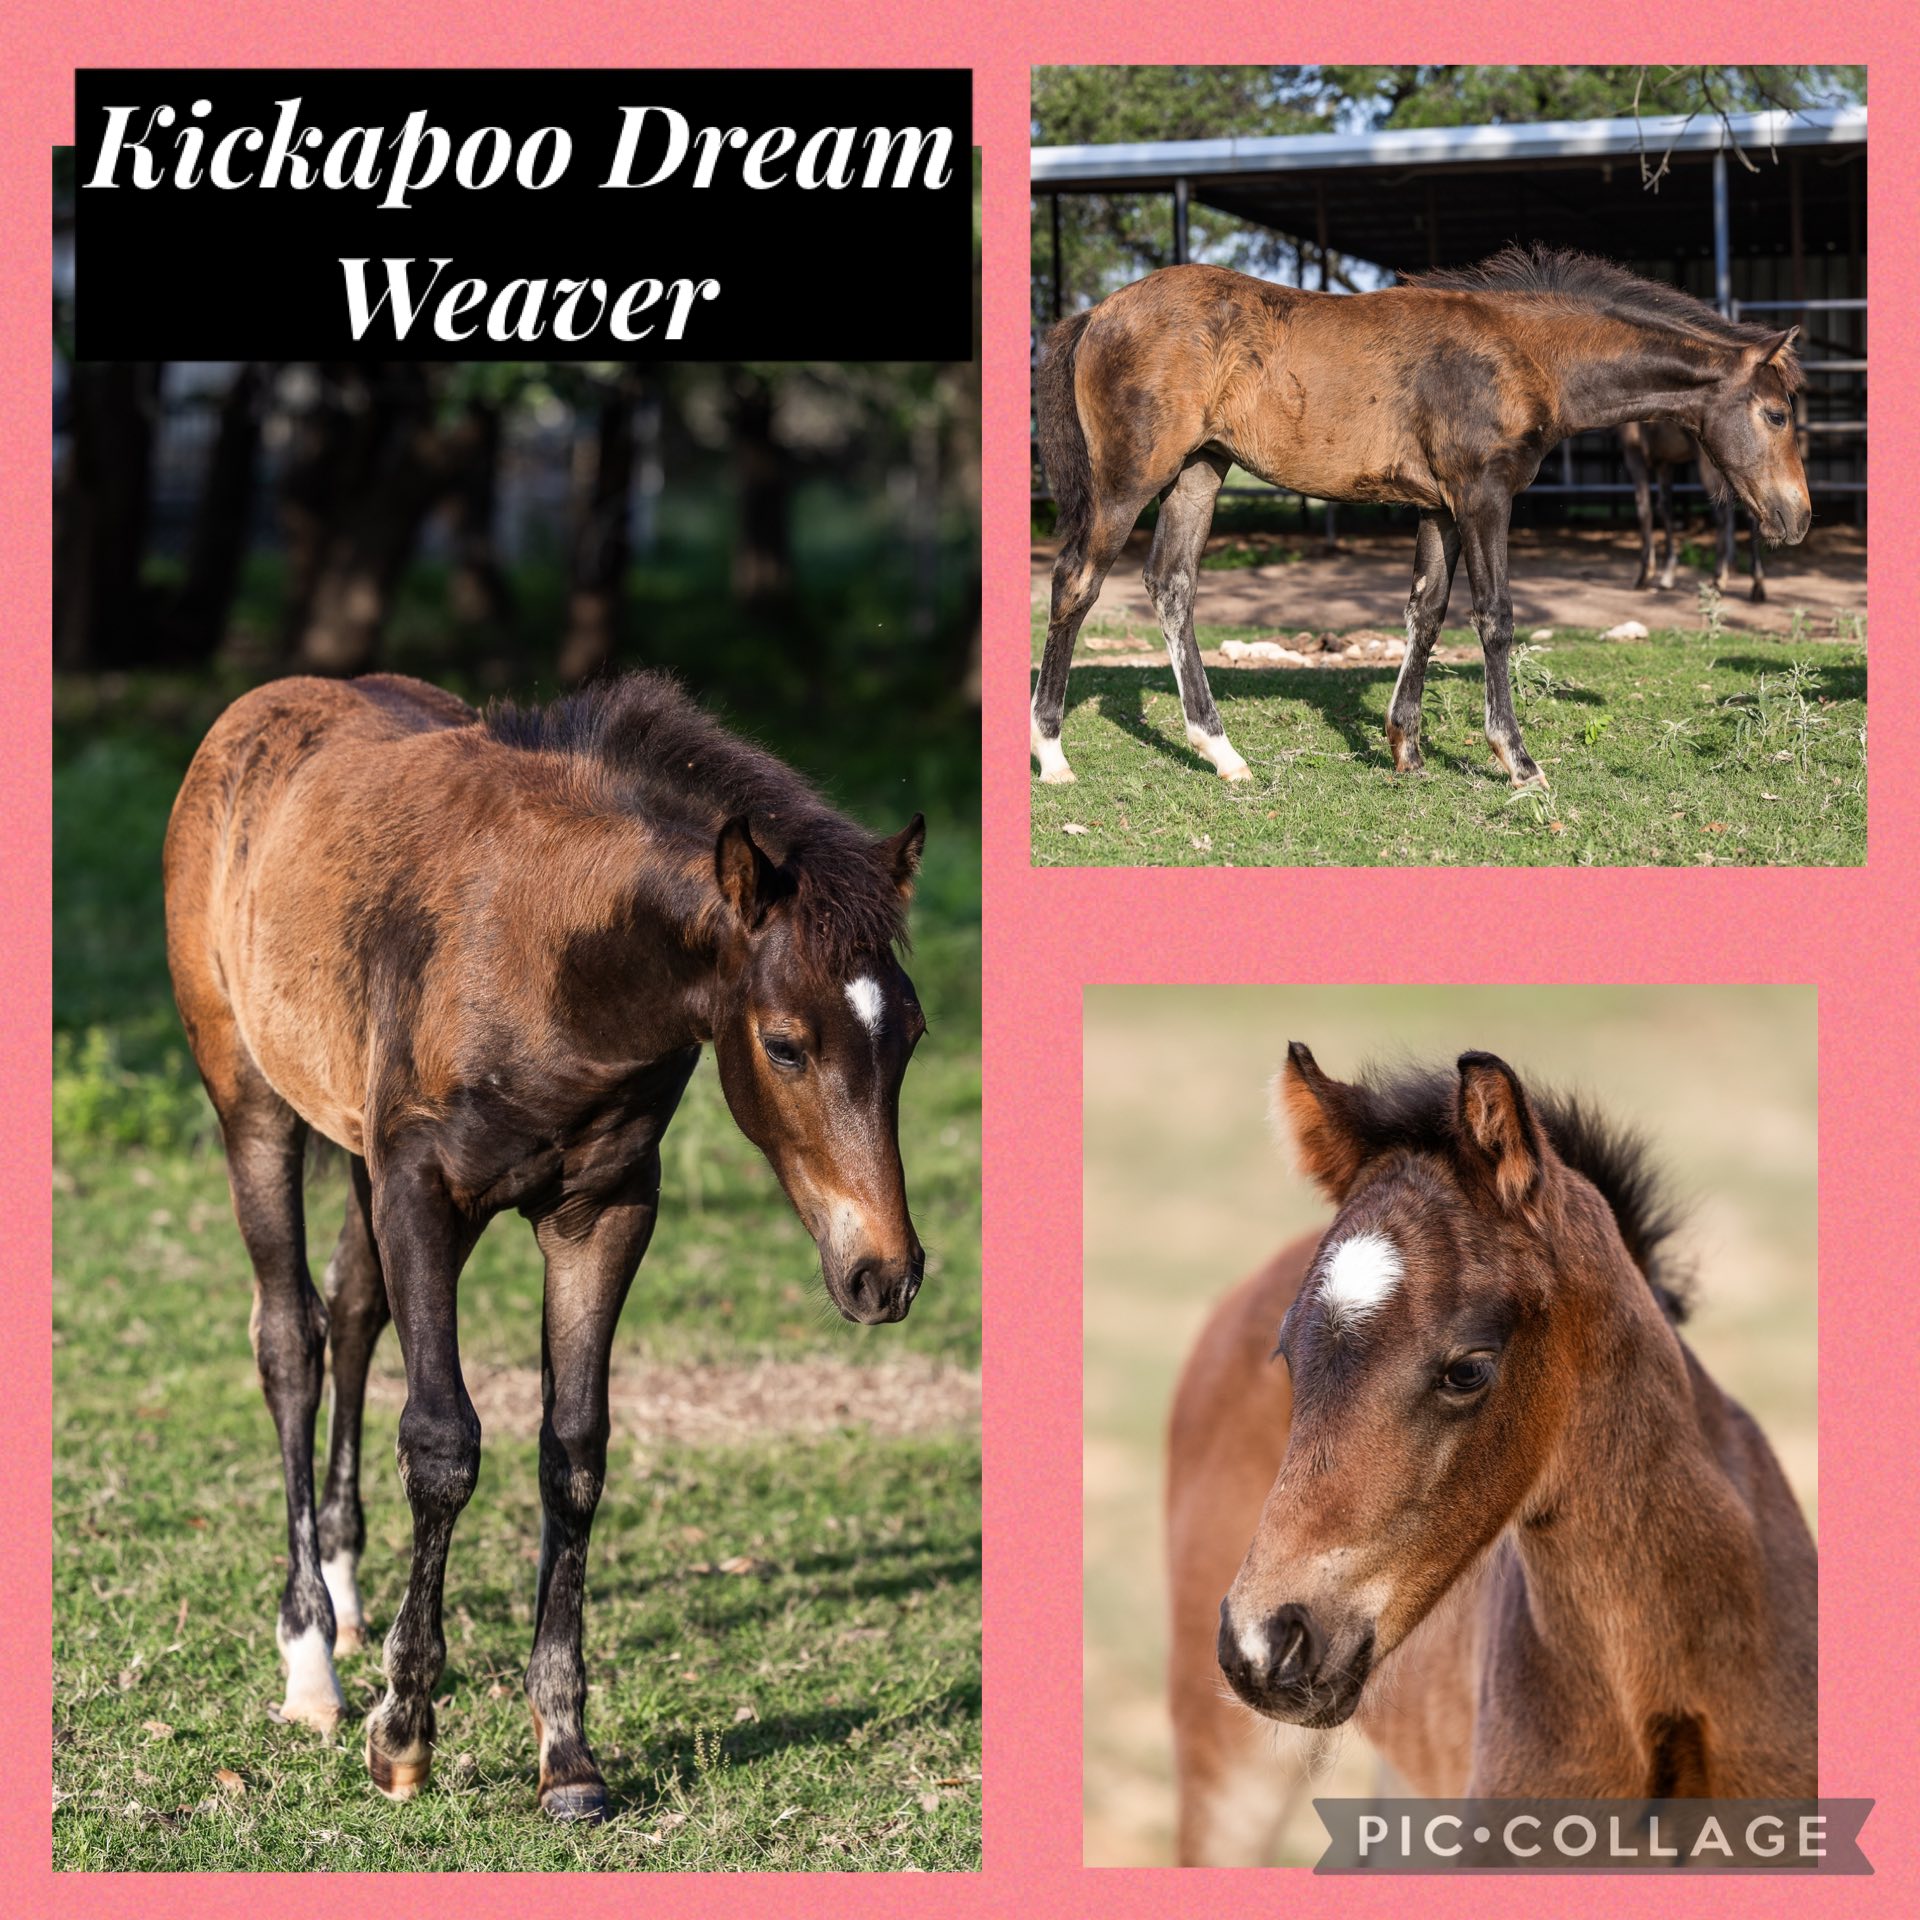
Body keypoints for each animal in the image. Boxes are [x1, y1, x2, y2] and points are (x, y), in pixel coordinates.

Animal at [163, 670, 928, 1820]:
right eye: (787, 1045)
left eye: (914, 1035)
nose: (886, 1275)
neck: (551, 955)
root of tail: (254, 709)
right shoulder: (425, 1192)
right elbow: (442, 1445)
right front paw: (403, 1732)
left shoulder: (602, 1211)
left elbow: (573, 1454)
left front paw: (567, 1754)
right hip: (250, 1101)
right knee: (290, 1338)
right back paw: (314, 1662)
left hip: (355, 1143)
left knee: (353, 1311)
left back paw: (346, 1590)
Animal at [1618, 419, 1766, 601]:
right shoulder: (1665, 462)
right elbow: (1665, 508)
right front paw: (1668, 573)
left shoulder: (1634, 453)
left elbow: (1644, 510)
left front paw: (1644, 575)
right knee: (1750, 512)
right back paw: (1756, 585)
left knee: (1722, 515)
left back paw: (1718, 579)